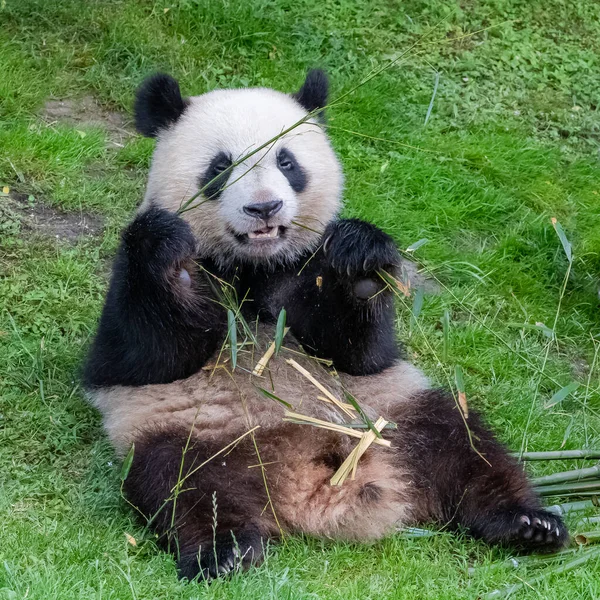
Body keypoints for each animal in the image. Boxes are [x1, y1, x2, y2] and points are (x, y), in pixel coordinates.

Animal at [83, 70, 568, 580]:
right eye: (220, 166)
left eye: (287, 161)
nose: (264, 208)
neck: (256, 263)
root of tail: (312, 485)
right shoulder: (148, 298)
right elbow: (146, 353)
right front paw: (167, 253)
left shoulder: (305, 267)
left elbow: (358, 351)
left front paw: (360, 262)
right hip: (186, 430)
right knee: (182, 482)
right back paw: (225, 551)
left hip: (391, 412)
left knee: (465, 444)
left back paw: (527, 523)